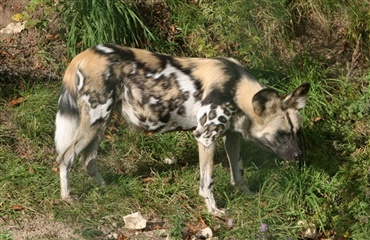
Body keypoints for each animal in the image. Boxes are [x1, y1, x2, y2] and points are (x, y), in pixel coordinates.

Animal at [54, 43, 310, 216]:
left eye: (297, 132)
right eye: (281, 135)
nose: (299, 156)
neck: (236, 88)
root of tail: (83, 55)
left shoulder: (231, 136)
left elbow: (238, 172)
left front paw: (246, 194)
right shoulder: (205, 137)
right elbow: (208, 182)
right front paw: (214, 210)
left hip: (100, 123)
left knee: (88, 158)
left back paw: (104, 187)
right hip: (94, 120)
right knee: (65, 157)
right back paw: (67, 197)